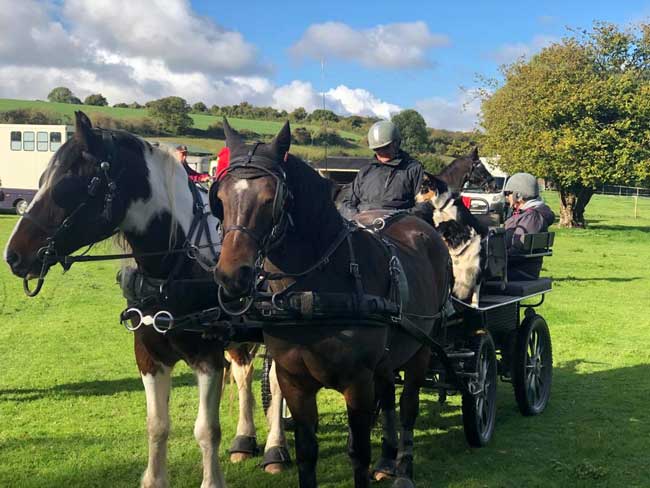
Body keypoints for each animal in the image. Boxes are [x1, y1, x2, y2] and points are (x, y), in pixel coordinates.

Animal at [2, 111, 286, 488]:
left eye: (68, 185)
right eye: (41, 179)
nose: (13, 255)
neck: (175, 263)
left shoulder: (207, 358)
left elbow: (206, 429)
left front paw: (212, 478)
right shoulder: (149, 356)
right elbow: (157, 425)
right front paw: (155, 476)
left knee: (277, 382)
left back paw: (275, 449)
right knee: (243, 375)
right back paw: (244, 439)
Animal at [213, 119, 450, 488]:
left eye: (270, 199)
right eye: (220, 197)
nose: (231, 275)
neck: (312, 293)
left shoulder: (357, 381)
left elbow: (359, 453)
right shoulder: (294, 381)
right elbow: (307, 452)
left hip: (421, 347)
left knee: (408, 406)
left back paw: (403, 471)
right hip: (387, 358)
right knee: (389, 398)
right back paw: (387, 461)